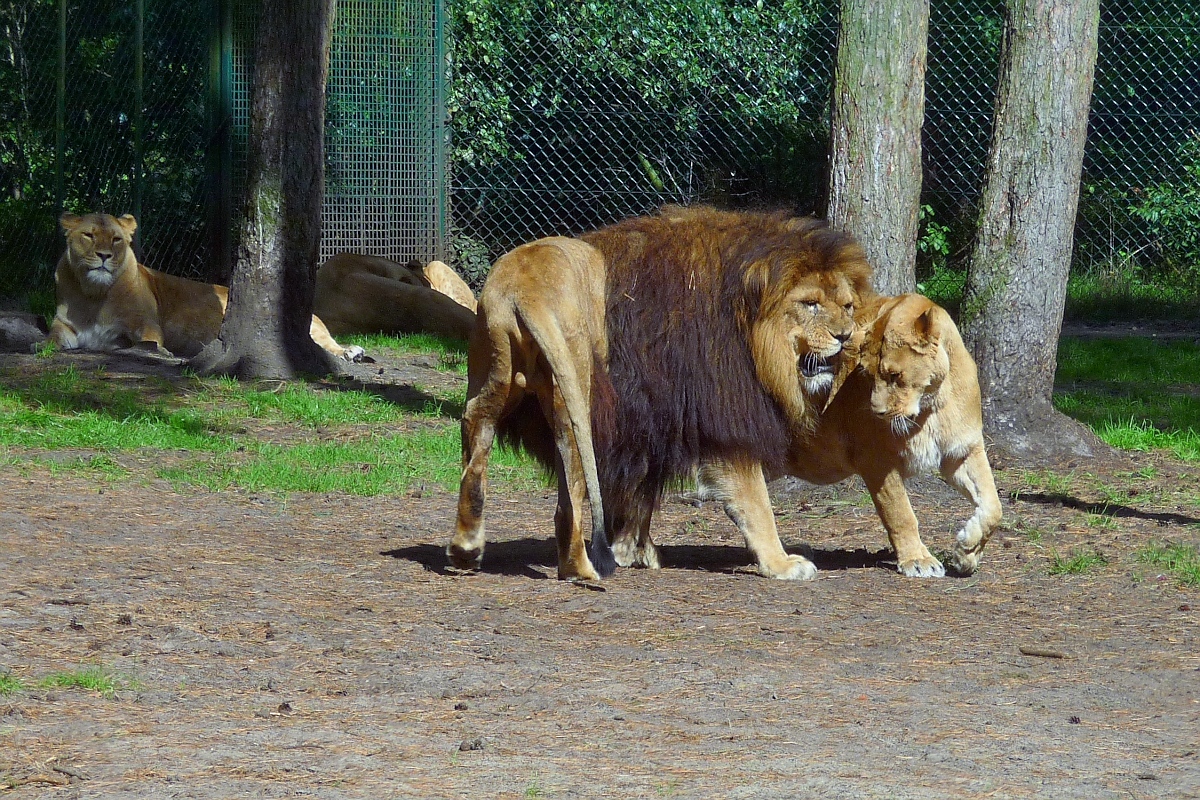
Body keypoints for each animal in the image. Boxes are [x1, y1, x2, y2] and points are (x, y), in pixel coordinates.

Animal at [51, 212, 360, 362]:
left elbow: (147, 341)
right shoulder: (64, 324)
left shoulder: (147, 325)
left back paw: (350, 353)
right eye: (89, 235)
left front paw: (160, 353)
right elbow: (53, 339)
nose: (104, 255)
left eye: (116, 239)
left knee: (327, 345)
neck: (94, 295)